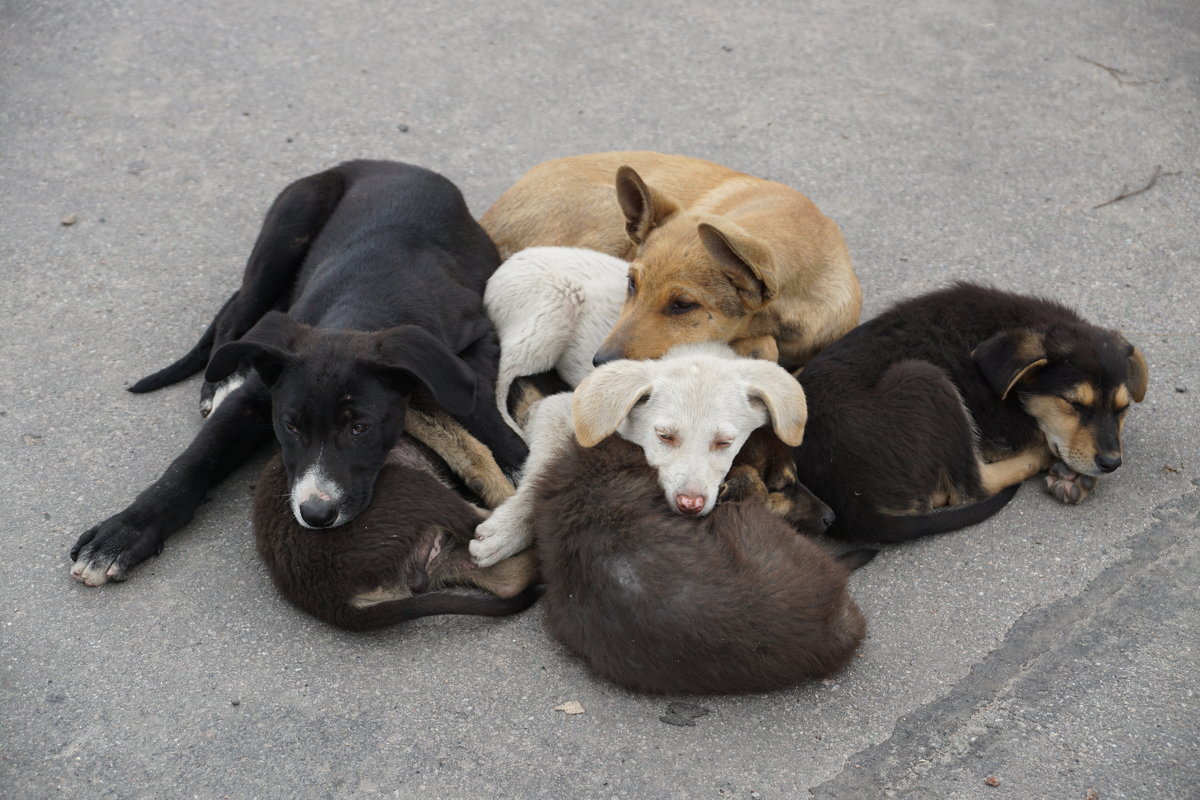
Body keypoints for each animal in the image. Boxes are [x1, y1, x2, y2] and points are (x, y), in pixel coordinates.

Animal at [470, 345, 806, 568]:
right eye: (664, 435)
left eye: (725, 442)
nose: (690, 504)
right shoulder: (557, 409)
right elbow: (541, 477)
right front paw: (507, 531)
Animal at [792, 281, 1147, 544]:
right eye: (1074, 404)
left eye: (1123, 408)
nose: (1111, 464)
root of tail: (849, 503)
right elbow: (1041, 437)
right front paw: (1072, 471)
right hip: (924, 377)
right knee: (975, 485)